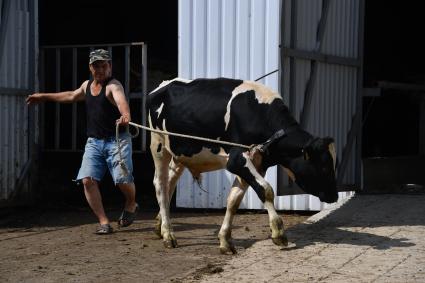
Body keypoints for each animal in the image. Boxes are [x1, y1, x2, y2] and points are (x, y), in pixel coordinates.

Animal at [147, 77, 336, 255]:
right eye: (325, 166)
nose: (334, 196)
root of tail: (164, 84)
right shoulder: (238, 159)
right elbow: (266, 190)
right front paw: (278, 233)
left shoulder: (257, 164)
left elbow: (234, 200)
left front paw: (225, 241)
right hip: (158, 145)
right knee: (160, 185)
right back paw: (168, 235)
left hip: (179, 154)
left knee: (170, 184)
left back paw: (160, 226)